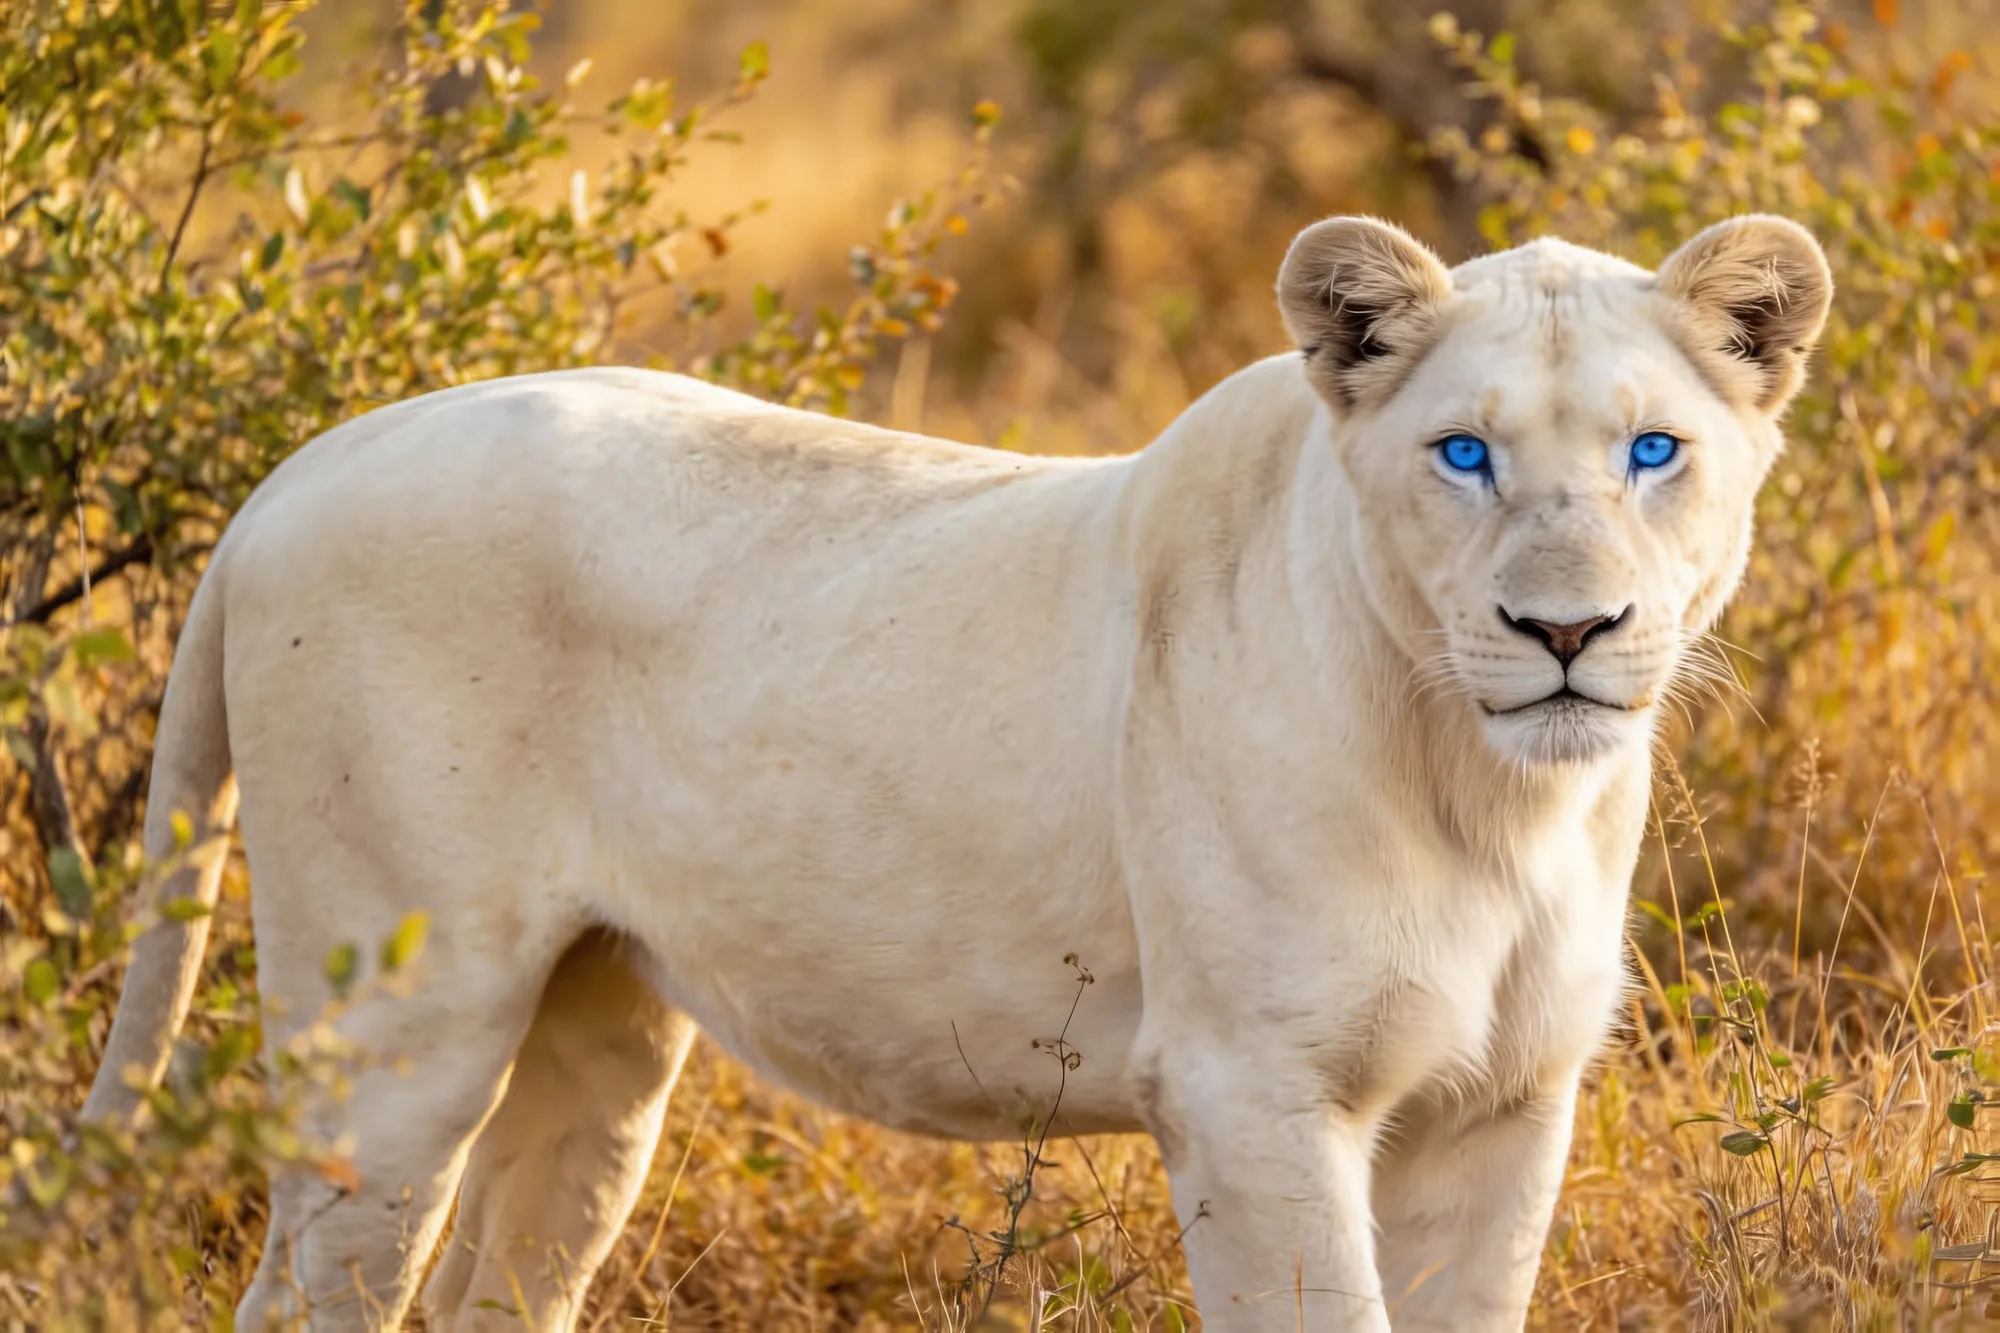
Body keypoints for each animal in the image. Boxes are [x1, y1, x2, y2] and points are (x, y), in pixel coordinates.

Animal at [81, 214, 1830, 1331]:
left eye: (1653, 452)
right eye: (1463, 453)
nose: (1566, 629)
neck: (1493, 795)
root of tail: (299, 467)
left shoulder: (1507, 1102)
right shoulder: (1249, 1088)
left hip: (597, 1039)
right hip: (396, 1031)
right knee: (305, 1290)